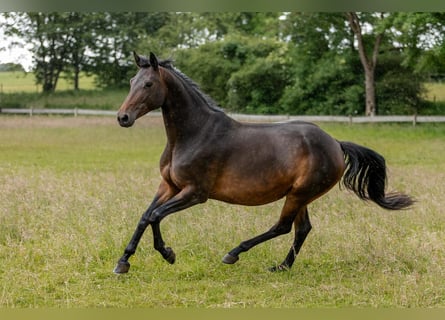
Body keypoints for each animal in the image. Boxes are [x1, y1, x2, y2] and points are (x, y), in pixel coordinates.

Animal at [112, 51, 414, 274]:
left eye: (148, 84)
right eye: (131, 81)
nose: (123, 118)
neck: (194, 134)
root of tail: (336, 144)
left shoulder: (195, 193)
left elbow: (155, 216)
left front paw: (168, 254)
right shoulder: (169, 185)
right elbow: (145, 215)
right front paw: (123, 262)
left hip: (298, 194)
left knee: (283, 227)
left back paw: (234, 253)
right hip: (301, 195)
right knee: (302, 229)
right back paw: (282, 267)